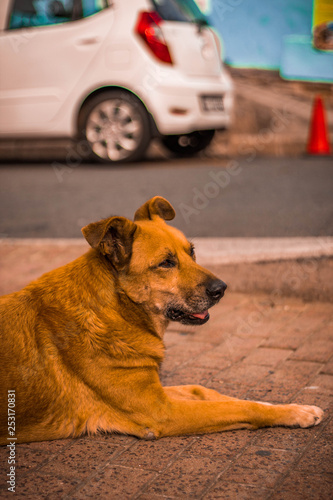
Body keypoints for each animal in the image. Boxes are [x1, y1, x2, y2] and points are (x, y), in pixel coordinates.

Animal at [0, 197, 322, 444]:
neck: (117, 309)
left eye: (192, 252)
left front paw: (288, 404)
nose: (221, 289)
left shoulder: (156, 392)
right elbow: (245, 409)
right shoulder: (162, 412)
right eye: (166, 263)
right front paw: (294, 413)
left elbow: (207, 391)